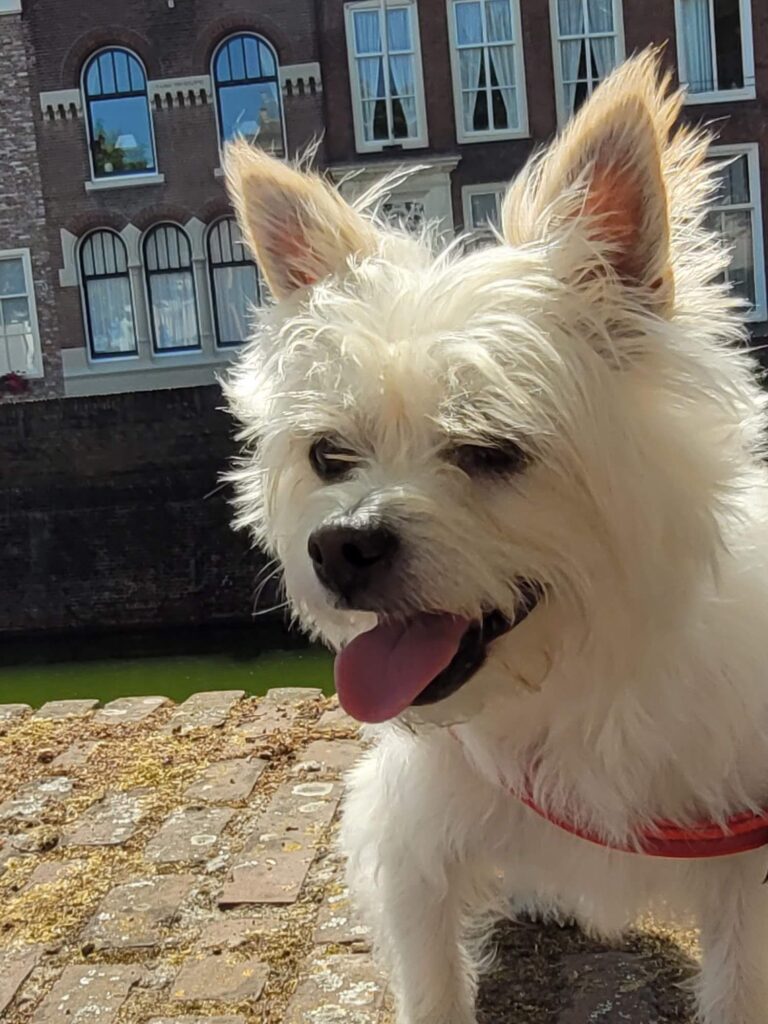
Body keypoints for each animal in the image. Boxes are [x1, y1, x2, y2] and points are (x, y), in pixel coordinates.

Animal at [224, 51, 768, 1024]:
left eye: (490, 449)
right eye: (329, 454)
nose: (341, 545)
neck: (571, 690)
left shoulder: (746, 877)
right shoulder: (414, 852)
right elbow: (435, 985)